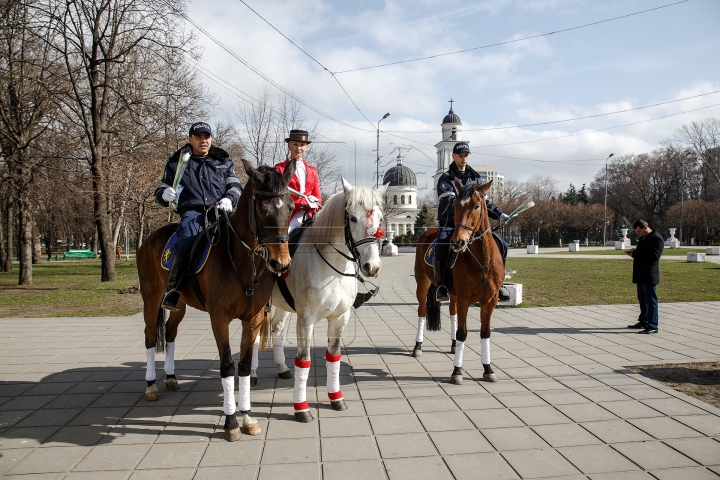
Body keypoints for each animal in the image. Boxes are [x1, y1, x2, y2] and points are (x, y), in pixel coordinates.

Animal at [138, 159, 296, 440]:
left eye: (290, 207)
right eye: (262, 208)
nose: (281, 263)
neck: (243, 261)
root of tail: (151, 238)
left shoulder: (253, 319)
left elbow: (244, 366)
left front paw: (248, 417)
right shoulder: (219, 319)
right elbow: (227, 366)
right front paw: (231, 422)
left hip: (179, 305)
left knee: (170, 332)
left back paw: (170, 377)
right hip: (151, 298)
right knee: (149, 337)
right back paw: (151, 386)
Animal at [255, 178, 386, 422]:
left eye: (380, 219)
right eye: (352, 218)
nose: (371, 267)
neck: (333, 265)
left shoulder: (340, 317)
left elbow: (333, 357)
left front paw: (336, 398)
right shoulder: (305, 320)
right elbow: (304, 360)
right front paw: (301, 408)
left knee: (276, 329)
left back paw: (282, 368)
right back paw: (251, 374)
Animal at [414, 178, 504, 384]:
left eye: (477, 205)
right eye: (454, 205)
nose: (458, 242)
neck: (482, 261)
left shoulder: (490, 300)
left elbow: (485, 333)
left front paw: (487, 368)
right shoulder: (465, 298)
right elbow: (463, 332)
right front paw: (457, 371)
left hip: (453, 293)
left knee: (452, 312)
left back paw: (454, 345)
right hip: (422, 283)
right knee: (422, 311)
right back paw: (418, 346)